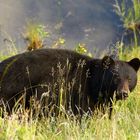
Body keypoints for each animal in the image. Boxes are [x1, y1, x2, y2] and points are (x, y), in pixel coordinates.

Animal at [0, 48, 139, 117]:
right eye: (115, 77)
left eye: (129, 79)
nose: (123, 93)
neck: (93, 81)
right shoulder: (77, 89)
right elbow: (81, 111)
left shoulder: (102, 100)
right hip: (13, 90)